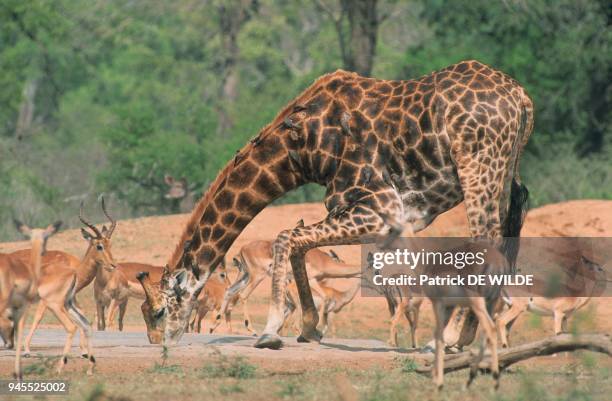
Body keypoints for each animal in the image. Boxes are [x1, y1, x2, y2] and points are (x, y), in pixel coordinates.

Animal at [141, 59, 532, 346]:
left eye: (158, 311)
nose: (161, 343)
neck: (301, 150)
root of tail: (522, 98)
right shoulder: (373, 213)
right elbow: (299, 244)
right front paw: (308, 328)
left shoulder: (381, 209)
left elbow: (286, 237)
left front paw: (270, 331)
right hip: (502, 172)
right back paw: (468, 337)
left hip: (476, 165)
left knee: (485, 240)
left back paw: (447, 338)